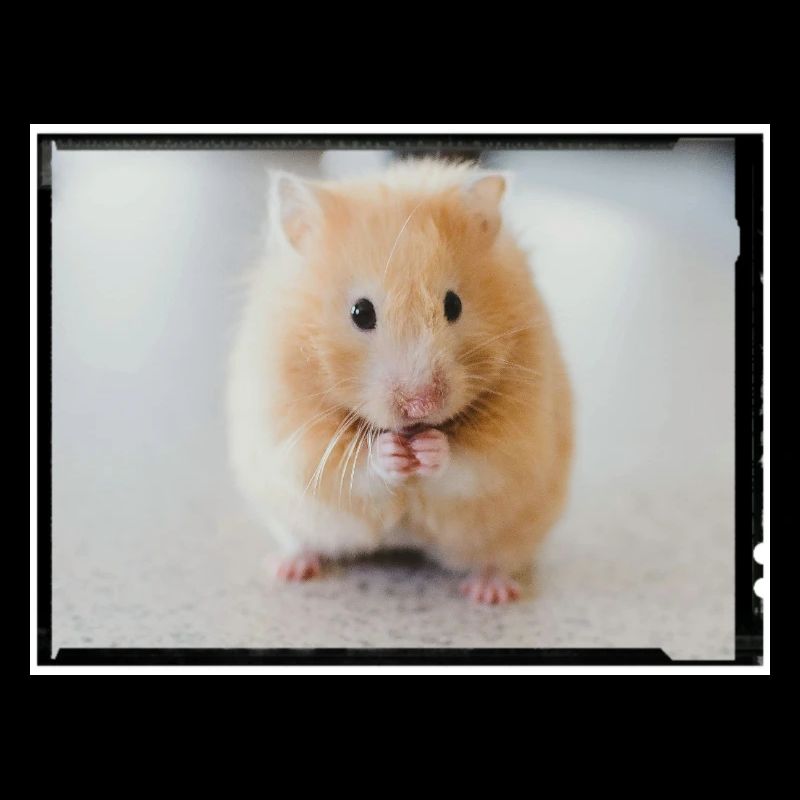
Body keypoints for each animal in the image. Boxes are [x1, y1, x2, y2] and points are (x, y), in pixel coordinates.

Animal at [227, 159, 573, 603]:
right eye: (360, 312)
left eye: (454, 304)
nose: (421, 405)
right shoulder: (293, 436)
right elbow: (351, 466)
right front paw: (392, 452)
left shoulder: (517, 443)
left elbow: (471, 464)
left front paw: (429, 448)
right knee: (302, 541)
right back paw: (288, 568)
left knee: (496, 559)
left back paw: (490, 593)